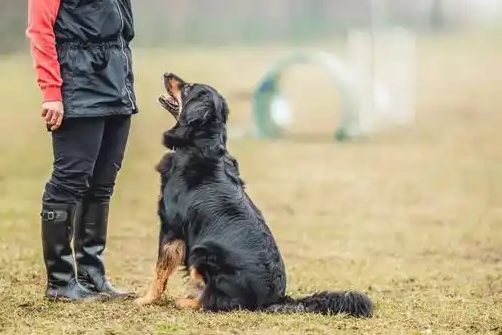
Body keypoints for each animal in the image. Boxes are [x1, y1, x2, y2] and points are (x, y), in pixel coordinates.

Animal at [133, 73, 372, 318]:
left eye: (188, 87)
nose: (167, 74)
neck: (200, 144)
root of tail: (274, 299)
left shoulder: (171, 228)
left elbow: (159, 271)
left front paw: (146, 300)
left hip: (201, 253)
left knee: (216, 301)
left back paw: (188, 302)